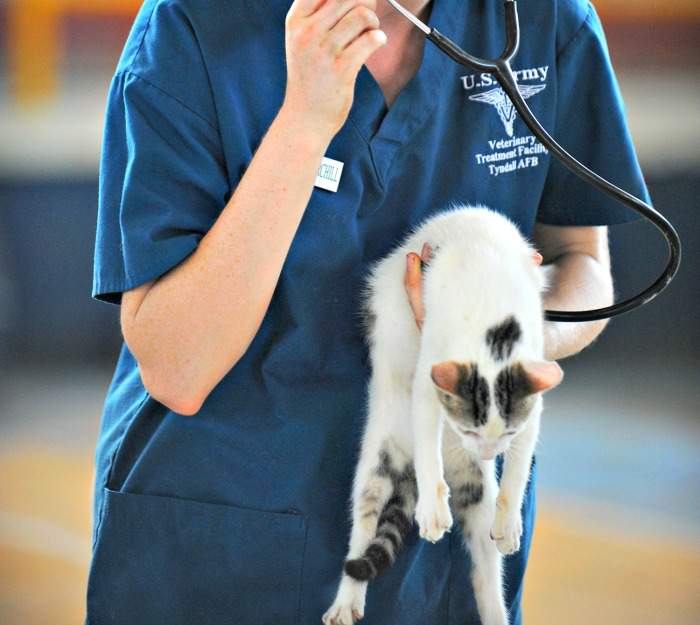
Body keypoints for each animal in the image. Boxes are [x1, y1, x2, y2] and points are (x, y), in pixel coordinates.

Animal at [322, 202, 564, 620]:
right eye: (468, 431)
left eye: (508, 435)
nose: (486, 452)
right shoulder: (429, 368)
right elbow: (426, 429)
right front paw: (434, 509)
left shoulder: (532, 397)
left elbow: (518, 466)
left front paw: (510, 519)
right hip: (377, 462)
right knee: (363, 525)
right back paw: (346, 600)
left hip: (477, 490)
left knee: (486, 572)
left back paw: (496, 609)